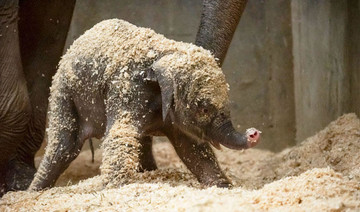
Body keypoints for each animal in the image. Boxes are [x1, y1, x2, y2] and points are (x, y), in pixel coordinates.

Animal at [0, 0, 248, 195]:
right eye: (204, 109)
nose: (253, 133)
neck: (164, 53)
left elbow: (192, 147)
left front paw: (225, 188)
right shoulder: (128, 89)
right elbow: (120, 135)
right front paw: (119, 190)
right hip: (64, 92)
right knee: (64, 145)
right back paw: (31, 192)